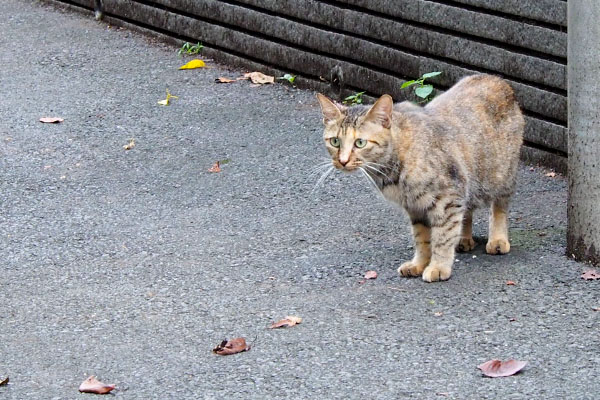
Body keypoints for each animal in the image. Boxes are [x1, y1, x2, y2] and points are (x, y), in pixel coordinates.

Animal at [316, 74, 524, 282]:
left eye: (360, 143)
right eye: (335, 141)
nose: (342, 161)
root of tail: (495, 78)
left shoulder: (448, 200)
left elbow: (442, 237)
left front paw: (438, 266)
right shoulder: (415, 207)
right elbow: (422, 239)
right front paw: (419, 263)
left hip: (501, 175)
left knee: (499, 207)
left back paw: (497, 239)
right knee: (467, 210)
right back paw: (464, 238)